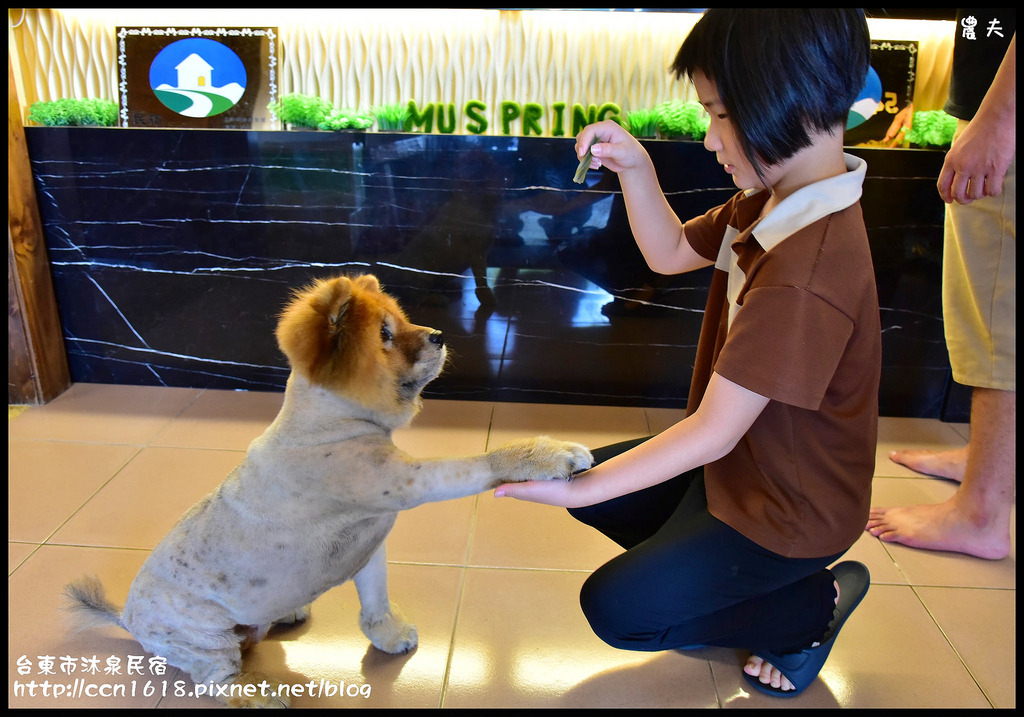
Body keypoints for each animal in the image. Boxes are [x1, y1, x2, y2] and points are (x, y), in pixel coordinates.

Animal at [64, 272, 593, 704]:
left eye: (402, 320)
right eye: (385, 335)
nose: (440, 335)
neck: (331, 422)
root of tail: (128, 619)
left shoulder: (371, 544)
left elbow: (376, 604)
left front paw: (387, 637)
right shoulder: (406, 482)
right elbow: (483, 463)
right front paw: (545, 456)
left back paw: (288, 614)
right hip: (205, 638)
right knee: (217, 679)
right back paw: (257, 696)